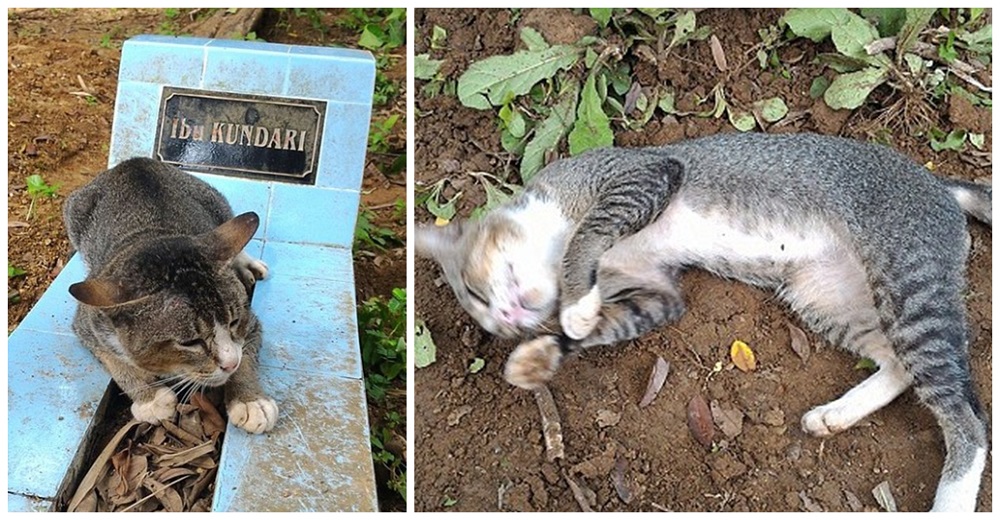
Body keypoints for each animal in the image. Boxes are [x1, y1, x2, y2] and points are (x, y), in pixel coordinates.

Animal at [66, 158, 278, 434]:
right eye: (190, 342)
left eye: (233, 322)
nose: (229, 364)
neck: (152, 237)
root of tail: (133, 162)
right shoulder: (88, 321)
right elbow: (114, 361)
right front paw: (150, 398)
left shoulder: (250, 322)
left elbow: (246, 353)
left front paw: (250, 401)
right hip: (74, 212)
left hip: (214, 200)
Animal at [416, 132, 992, 510]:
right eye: (490, 322)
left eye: (475, 291)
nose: (507, 319)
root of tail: (938, 183)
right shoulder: (660, 293)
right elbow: (610, 322)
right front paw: (543, 353)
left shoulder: (643, 173)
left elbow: (589, 234)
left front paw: (574, 303)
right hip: (825, 296)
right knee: (898, 366)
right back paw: (835, 416)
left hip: (907, 280)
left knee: (968, 419)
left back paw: (950, 498)